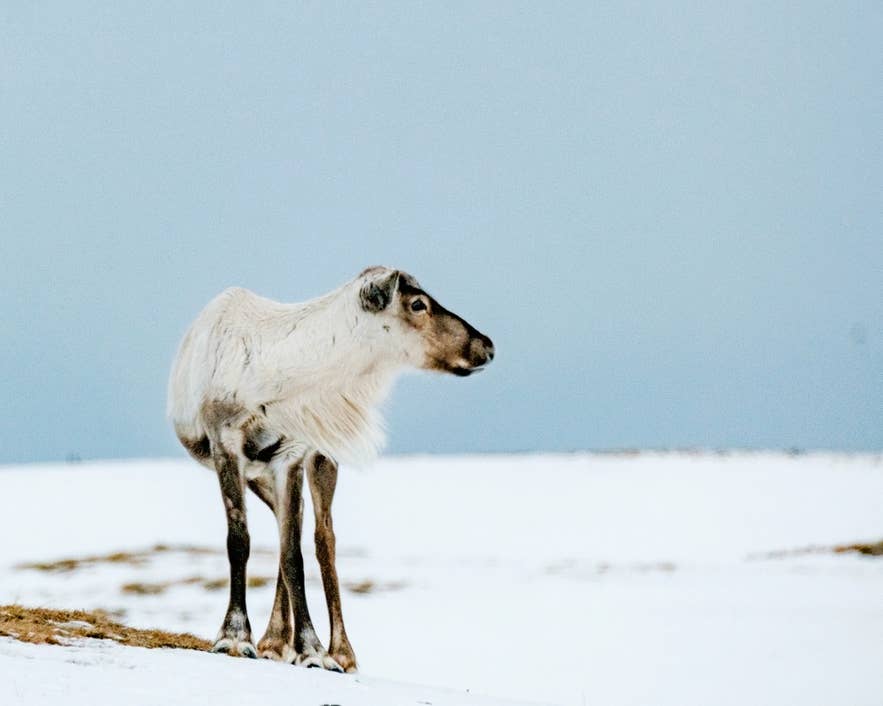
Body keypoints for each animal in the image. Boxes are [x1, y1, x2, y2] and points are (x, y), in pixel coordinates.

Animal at [167, 266, 494, 672]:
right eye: (418, 304)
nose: (486, 346)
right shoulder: (226, 444)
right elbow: (240, 541)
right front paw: (235, 637)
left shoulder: (290, 454)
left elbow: (293, 555)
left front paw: (313, 650)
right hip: (259, 476)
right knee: (290, 524)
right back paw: (275, 640)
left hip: (319, 460)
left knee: (323, 536)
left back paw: (337, 650)